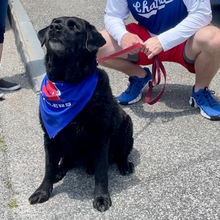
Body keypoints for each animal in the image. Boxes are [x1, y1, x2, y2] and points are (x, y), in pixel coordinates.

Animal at [28, 16, 133, 212]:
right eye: (54, 22)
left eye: (74, 27)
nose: (54, 28)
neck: (68, 82)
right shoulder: (49, 137)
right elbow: (48, 168)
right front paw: (42, 191)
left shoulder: (99, 138)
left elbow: (101, 173)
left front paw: (101, 197)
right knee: (66, 160)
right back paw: (61, 170)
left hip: (126, 126)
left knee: (120, 154)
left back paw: (124, 165)